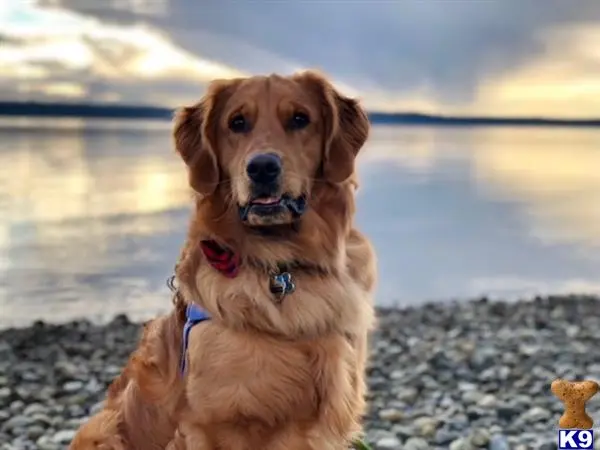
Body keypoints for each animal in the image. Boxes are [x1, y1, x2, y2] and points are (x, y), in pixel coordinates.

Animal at [69, 71, 376, 450]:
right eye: (237, 123)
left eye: (300, 119)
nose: (262, 167)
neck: (282, 267)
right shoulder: (212, 425)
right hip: (102, 429)